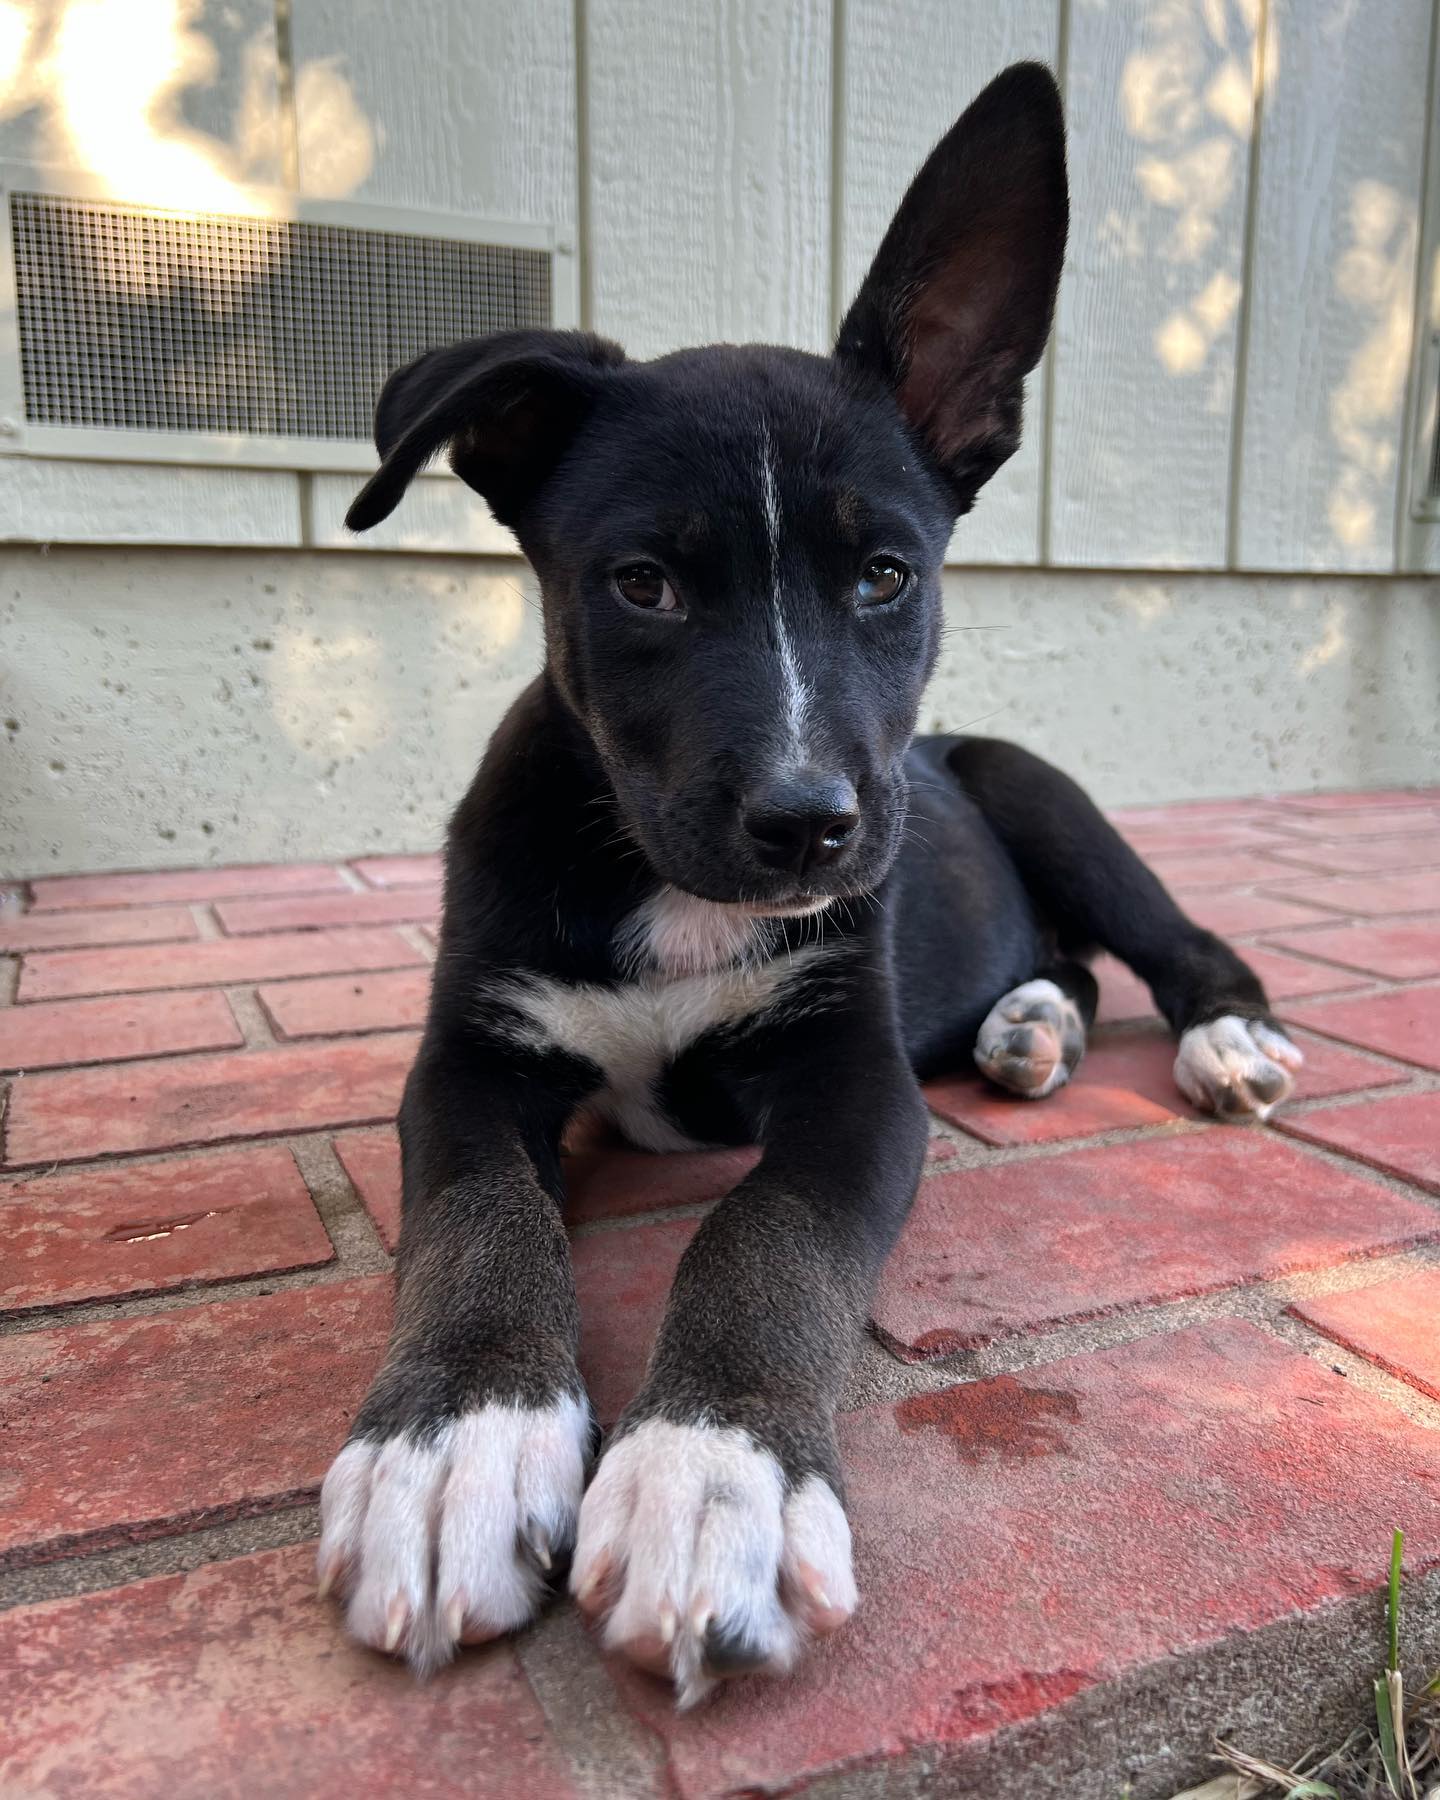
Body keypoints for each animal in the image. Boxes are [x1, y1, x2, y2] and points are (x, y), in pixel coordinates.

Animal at [315, 63, 1303, 1706]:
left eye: (886, 576)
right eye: (643, 584)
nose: (809, 828)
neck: (666, 889)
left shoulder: (851, 1075)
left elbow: (761, 1236)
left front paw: (714, 1477)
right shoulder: (471, 1055)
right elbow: (474, 1214)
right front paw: (455, 1442)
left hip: (1043, 792)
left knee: (1177, 943)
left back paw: (1226, 1039)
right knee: (1066, 968)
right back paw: (1027, 1028)